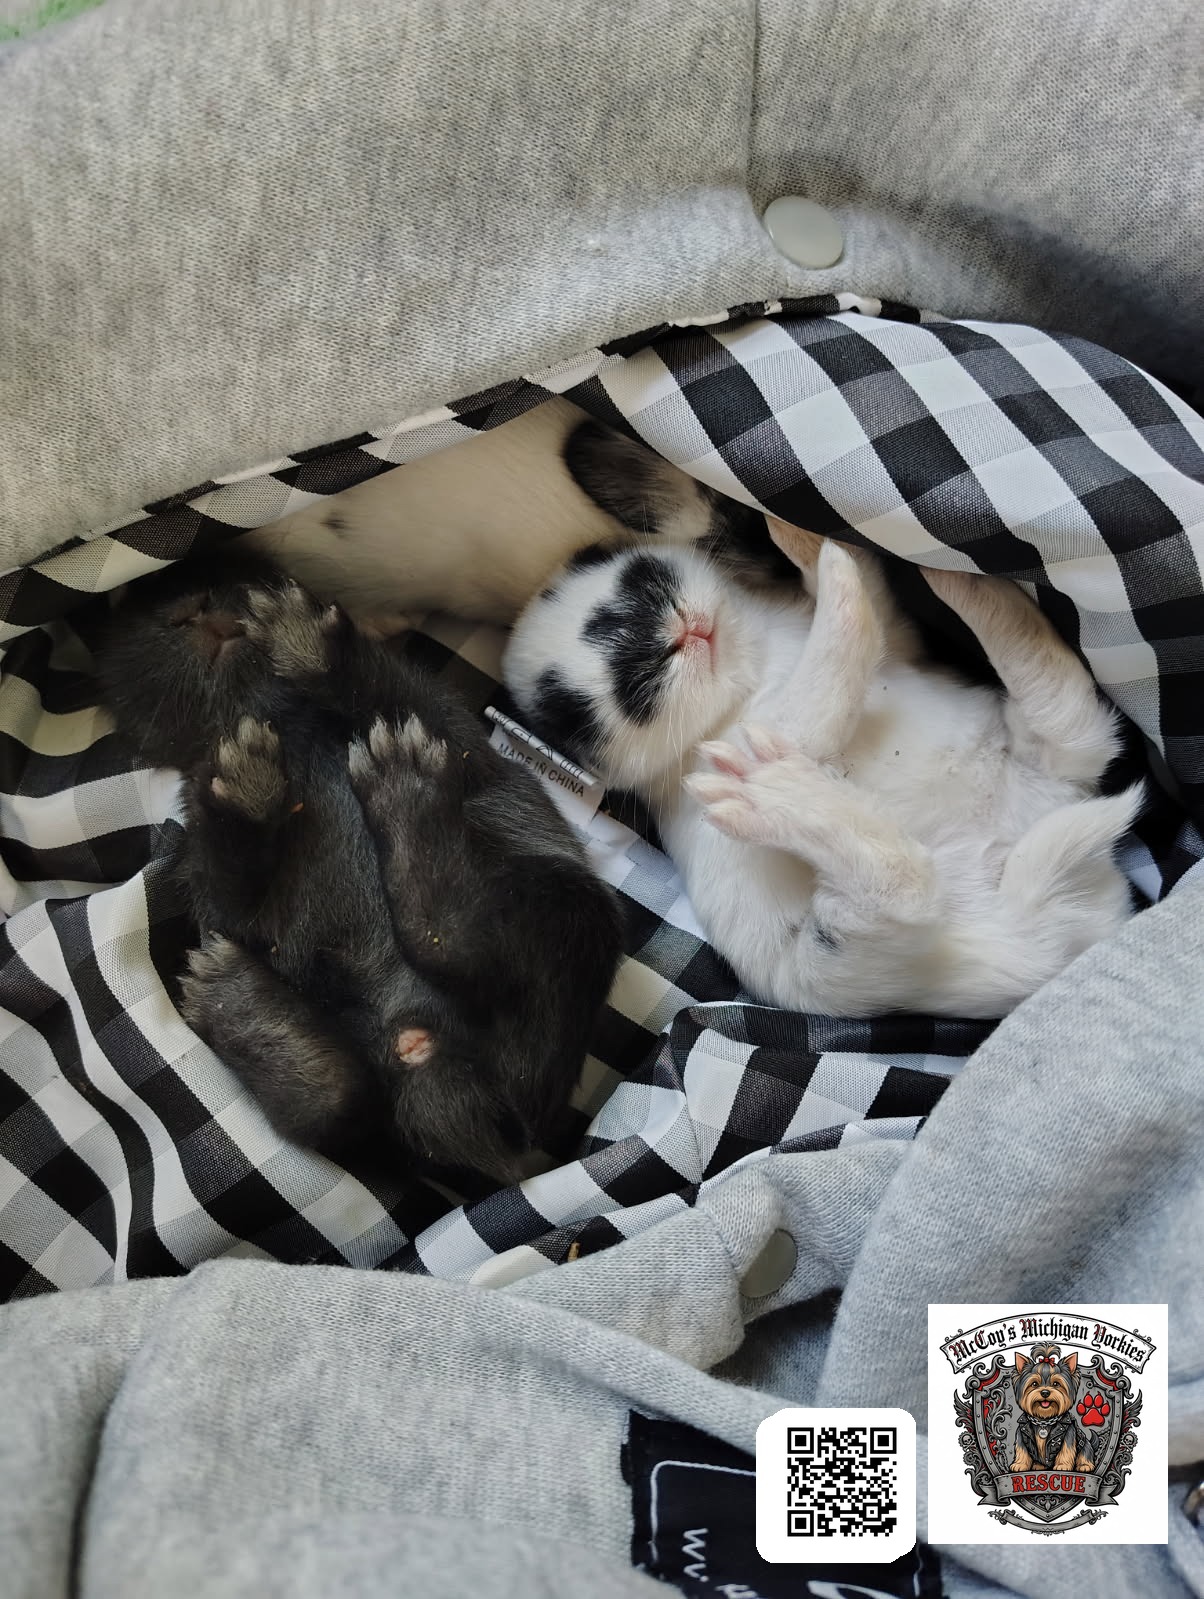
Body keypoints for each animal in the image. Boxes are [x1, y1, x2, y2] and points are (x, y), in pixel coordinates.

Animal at [95, 553, 624, 1181]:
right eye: (139, 605)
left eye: (227, 564)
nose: (193, 608)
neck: (269, 715)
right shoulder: (220, 887)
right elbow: (228, 878)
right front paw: (246, 783)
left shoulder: (454, 736)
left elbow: (390, 689)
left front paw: (304, 639)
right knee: (342, 1101)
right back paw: (240, 1004)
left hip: (569, 911)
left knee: (461, 944)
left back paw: (403, 789)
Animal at [502, 520, 1143, 1021]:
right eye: (631, 686)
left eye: (642, 585)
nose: (680, 633)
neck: (753, 665)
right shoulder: (768, 734)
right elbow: (825, 685)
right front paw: (837, 578)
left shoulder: (895, 645)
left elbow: (876, 603)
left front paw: (808, 540)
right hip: (843, 945)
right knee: (904, 889)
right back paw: (780, 797)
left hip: (1046, 752)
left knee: (1064, 710)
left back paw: (967, 586)